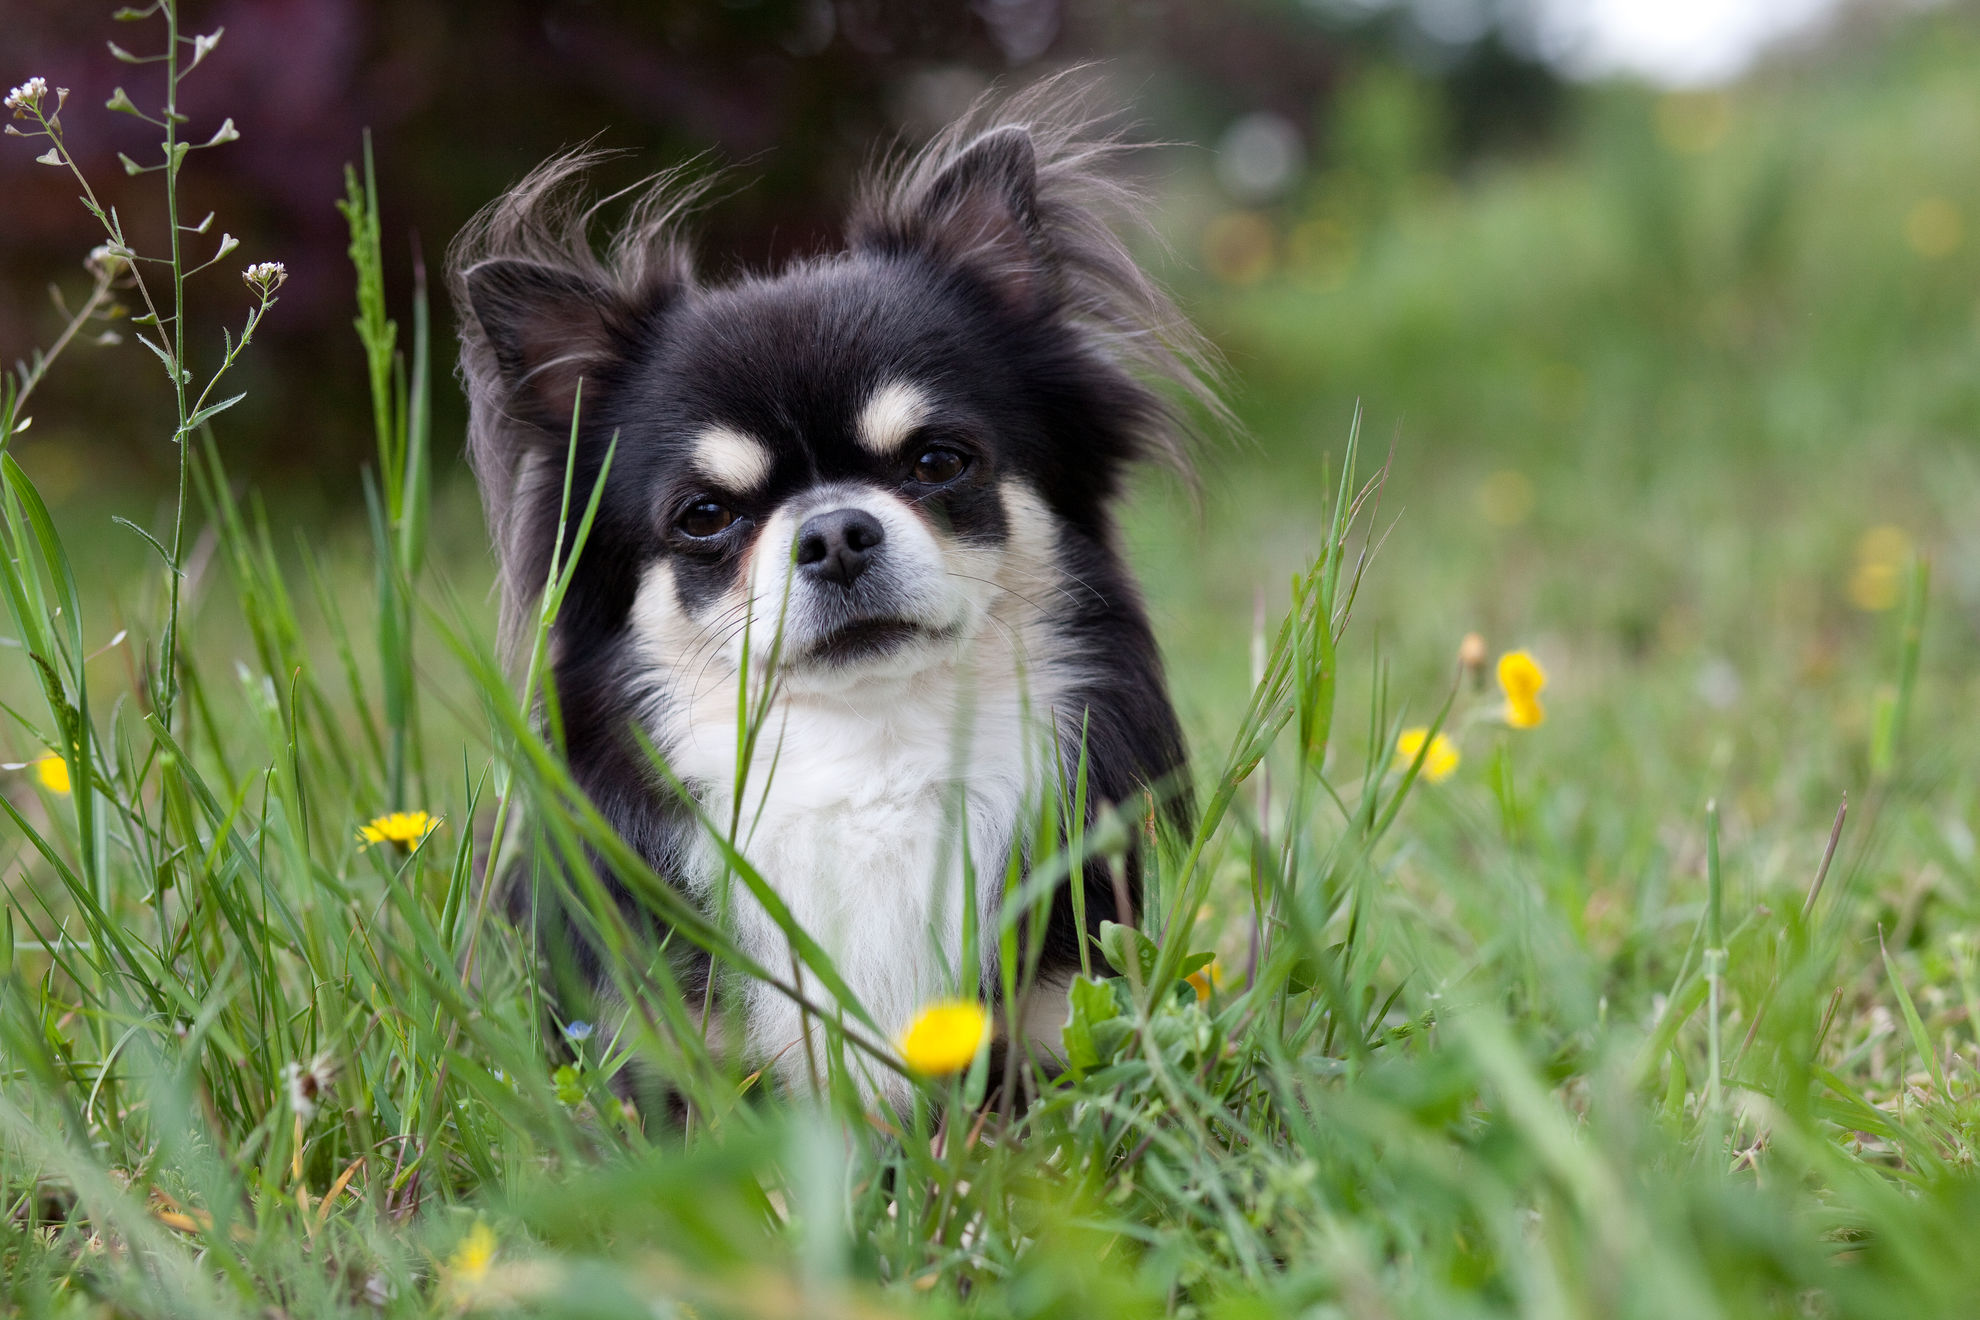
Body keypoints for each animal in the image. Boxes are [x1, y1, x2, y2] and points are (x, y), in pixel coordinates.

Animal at [451, 85, 1219, 1116]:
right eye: (705, 515)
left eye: (937, 462)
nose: (835, 533)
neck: (871, 759)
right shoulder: (656, 1062)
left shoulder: (1057, 1029)